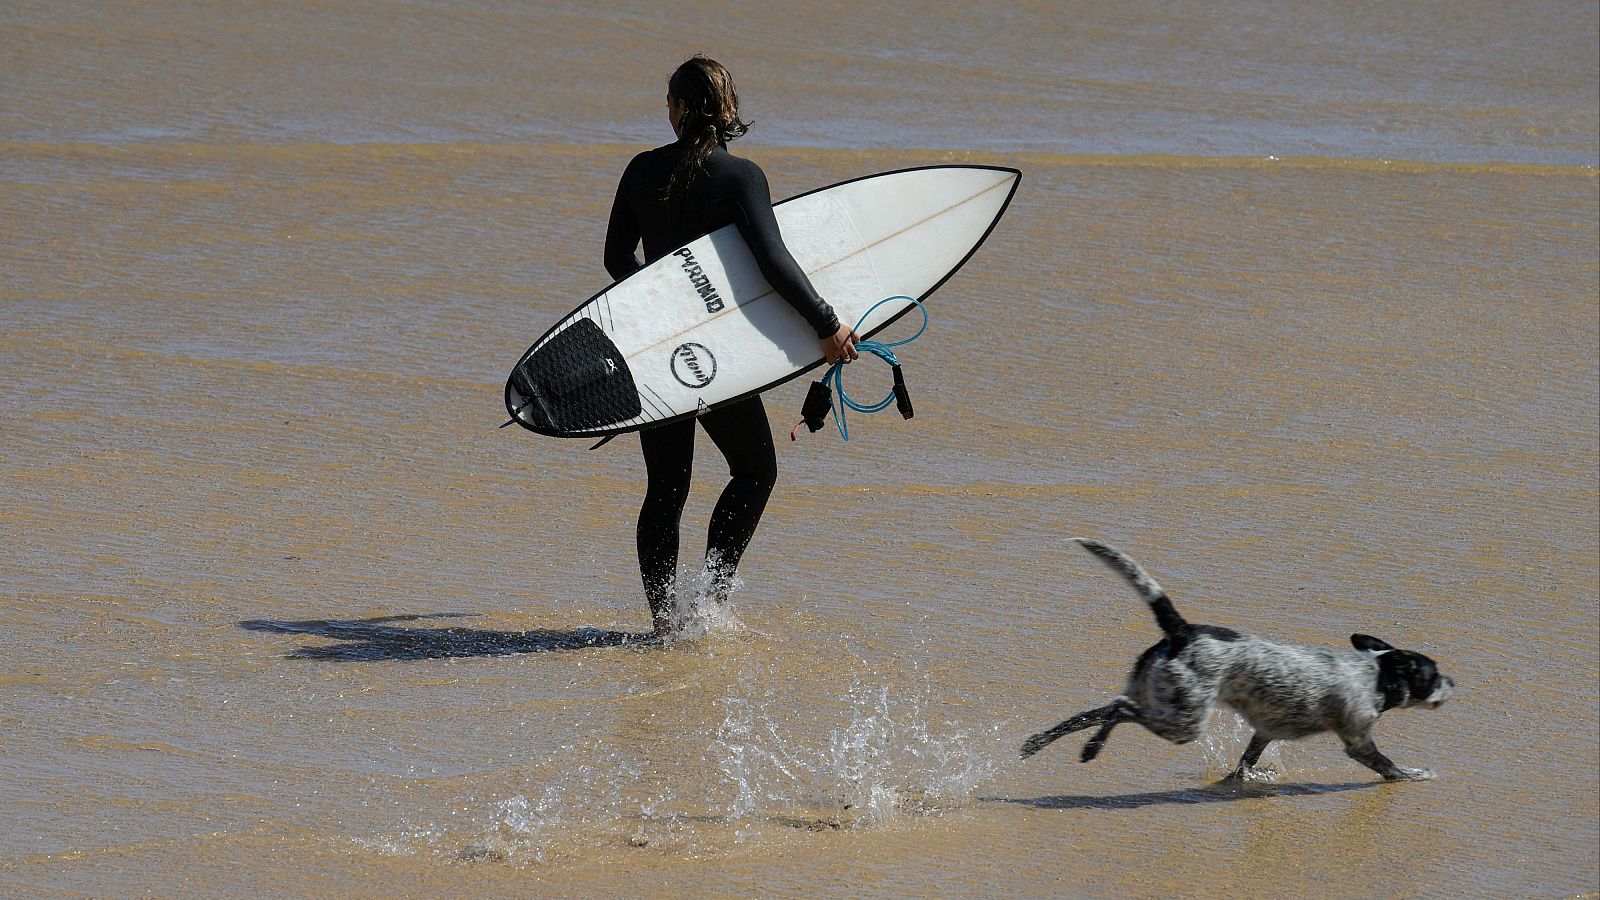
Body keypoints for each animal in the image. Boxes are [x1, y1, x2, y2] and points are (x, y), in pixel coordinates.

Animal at [1024, 538, 1452, 778]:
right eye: (1433, 674)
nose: (1455, 682)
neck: (1374, 673)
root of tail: (1183, 630)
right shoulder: (1358, 740)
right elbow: (1391, 768)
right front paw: (1416, 774)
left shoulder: (1264, 732)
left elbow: (1245, 763)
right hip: (1184, 723)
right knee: (1120, 708)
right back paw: (1090, 749)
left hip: (1156, 699)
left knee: (1091, 713)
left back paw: (1036, 743)